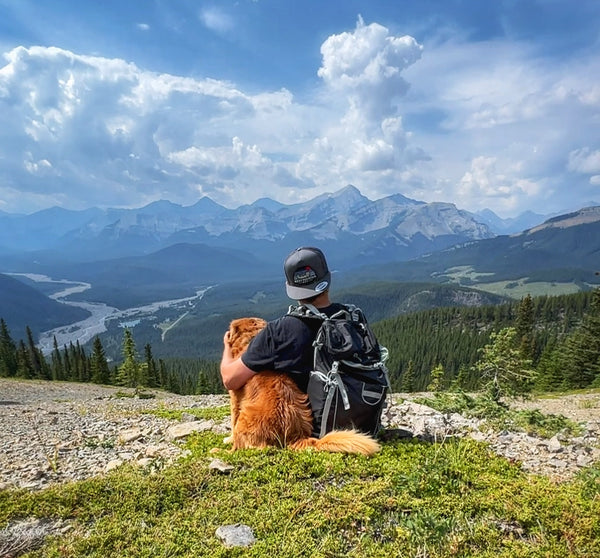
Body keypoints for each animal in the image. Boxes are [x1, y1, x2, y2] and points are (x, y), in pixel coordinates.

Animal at [225, 318, 380, 458]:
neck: (249, 339)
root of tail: (295, 434)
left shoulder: (234, 396)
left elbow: (233, 419)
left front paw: (228, 439)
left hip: (244, 420)